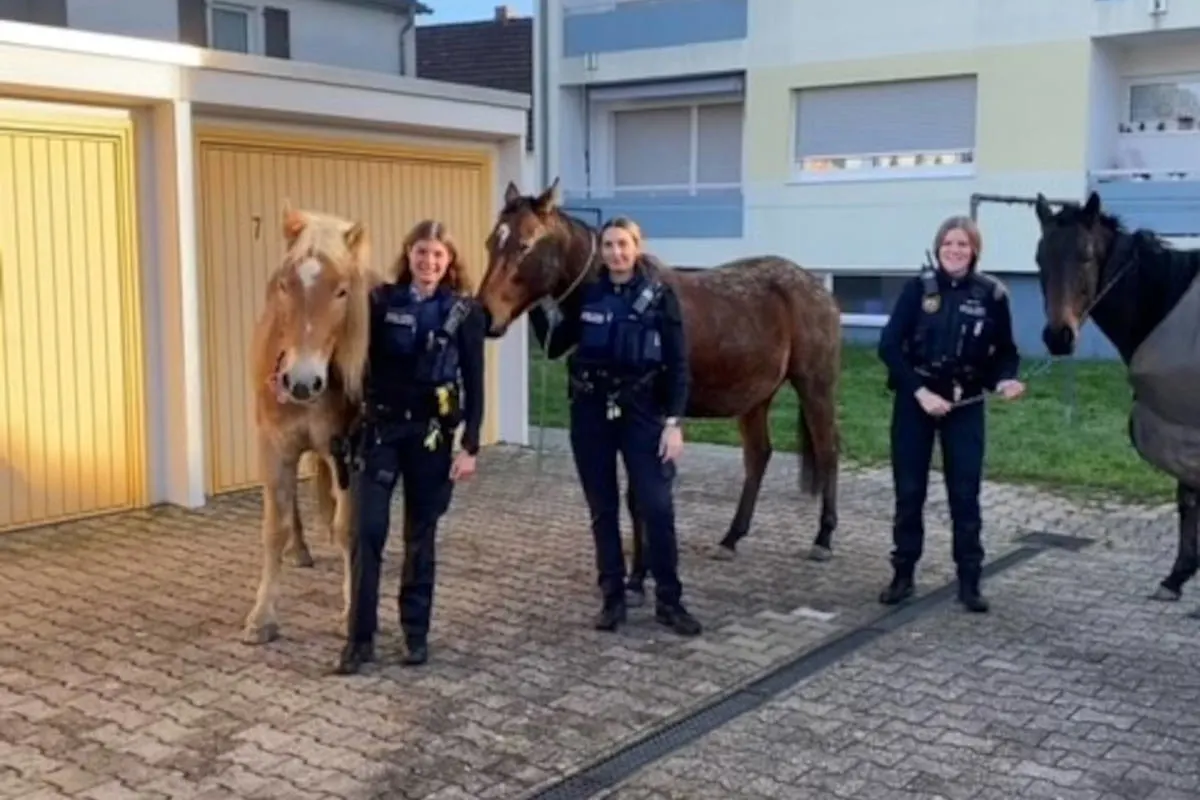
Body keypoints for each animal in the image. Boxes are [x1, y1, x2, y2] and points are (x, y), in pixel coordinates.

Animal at [241, 204, 380, 645]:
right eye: (284, 284)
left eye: (342, 291)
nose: (301, 382)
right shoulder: (274, 446)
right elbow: (275, 528)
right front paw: (261, 618)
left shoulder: (348, 453)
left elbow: (349, 527)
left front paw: (352, 611)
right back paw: (300, 549)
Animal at [476, 178, 843, 585]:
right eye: (492, 242)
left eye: (525, 244)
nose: (485, 314)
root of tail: (816, 287)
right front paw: (642, 568)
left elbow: (641, 496)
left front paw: (641, 572)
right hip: (755, 396)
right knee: (758, 456)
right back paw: (731, 538)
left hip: (815, 384)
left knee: (828, 450)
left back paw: (823, 539)